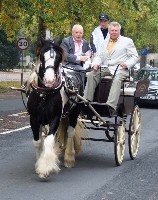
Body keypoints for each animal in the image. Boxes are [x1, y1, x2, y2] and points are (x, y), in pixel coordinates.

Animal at [26, 39, 84, 178]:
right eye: (42, 56)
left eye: (58, 58)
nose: (49, 80)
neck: (44, 93)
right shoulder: (34, 119)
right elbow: (38, 141)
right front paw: (38, 162)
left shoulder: (55, 118)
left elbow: (48, 140)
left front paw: (44, 168)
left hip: (74, 113)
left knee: (70, 132)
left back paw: (69, 158)